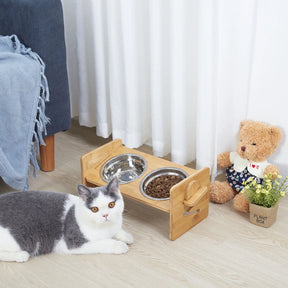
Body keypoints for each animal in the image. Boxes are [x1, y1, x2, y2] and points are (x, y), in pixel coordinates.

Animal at [0, 177, 133, 262]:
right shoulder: (73, 242)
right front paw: (120, 245)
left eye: (111, 204)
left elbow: (118, 230)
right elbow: (103, 242)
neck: (105, 228)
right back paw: (20, 256)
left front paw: (127, 236)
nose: (105, 215)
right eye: (94, 209)